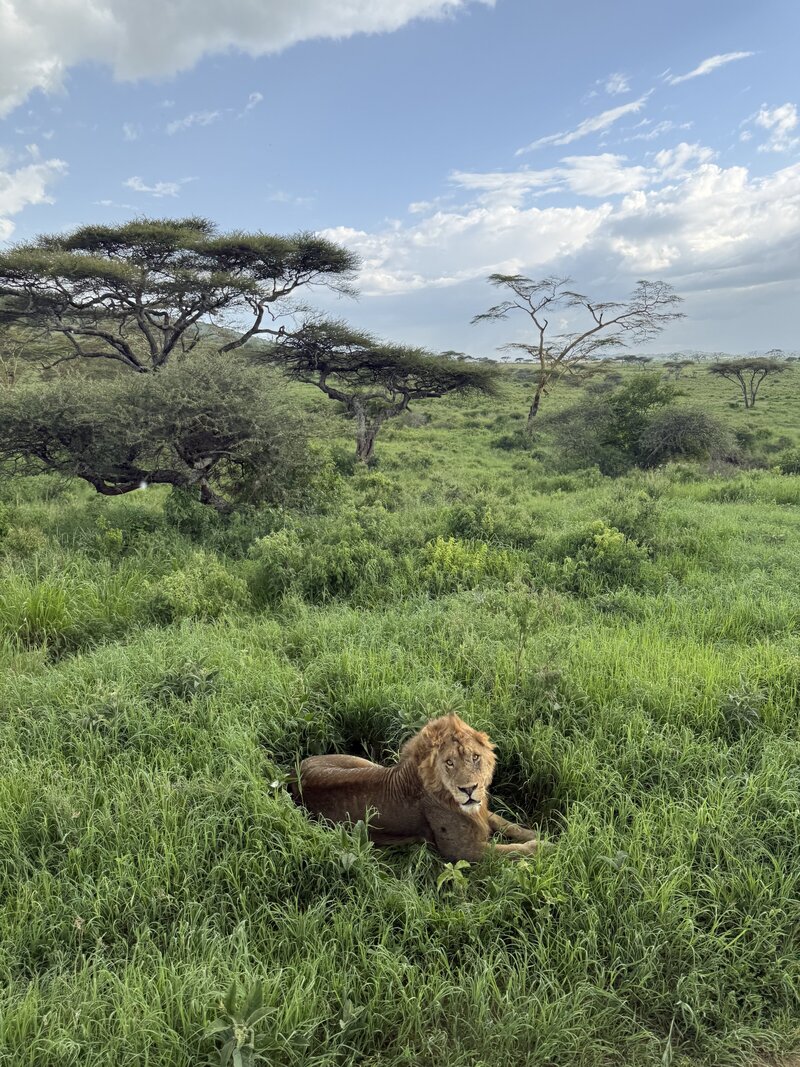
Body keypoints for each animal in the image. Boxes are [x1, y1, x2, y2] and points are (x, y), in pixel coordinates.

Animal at [291, 714, 540, 861]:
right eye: (449, 762)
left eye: (475, 757)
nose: (468, 789)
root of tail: (293, 778)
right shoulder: (459, 851)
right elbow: (509, 850)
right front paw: (542, 846)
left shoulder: (479, 810)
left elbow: (505, 823)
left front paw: (536, 832)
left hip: (363, 763)